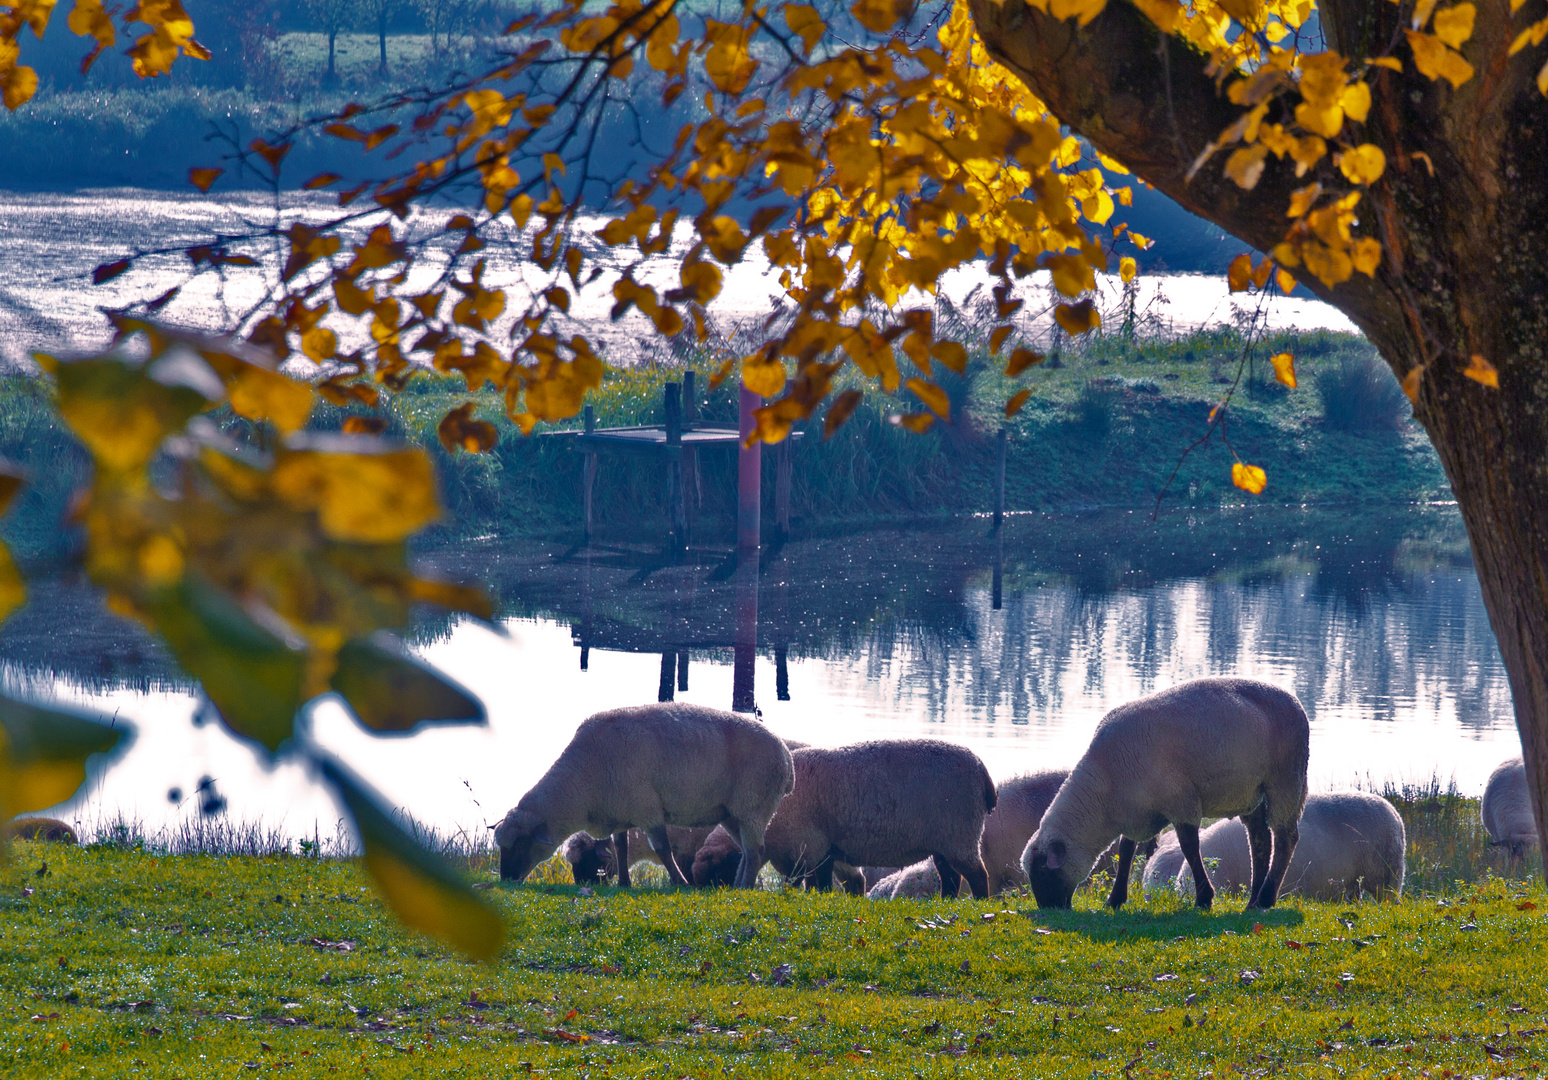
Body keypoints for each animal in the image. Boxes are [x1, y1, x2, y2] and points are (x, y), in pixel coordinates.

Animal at [492, 702, 792, 885]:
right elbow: (621, 849)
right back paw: (738, 885)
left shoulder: (647, 808)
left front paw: (681, 883)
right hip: (732, 814)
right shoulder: (622, 812)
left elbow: (662, 850)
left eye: (522, 843)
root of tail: (785, 756)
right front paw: (624, 884)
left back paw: (743, 887)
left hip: (753, 806)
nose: (506, 879)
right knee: (748, 851)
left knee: (755, 851)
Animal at [752, 736, 996, 897]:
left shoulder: (812, 845)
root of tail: (982, 770)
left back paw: (978, 903)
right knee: (951, 878)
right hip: (944, 843)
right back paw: (945, 902)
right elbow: (817, 883)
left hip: (960, 836)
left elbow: (816, 884)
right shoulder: (820, 850)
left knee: (978, 876)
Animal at [1027, 677, 1306, 909]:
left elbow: (1189, 847)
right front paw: (1115, 899)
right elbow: (1126, 850)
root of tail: (1294, 702)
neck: (1106, 786)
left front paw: (1204, 898)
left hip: (1286, 781)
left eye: (1043, 871)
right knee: (1260, 840)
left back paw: (1266, 898)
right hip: (1252, 791)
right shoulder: (1137, 811)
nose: (1049, 909)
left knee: (1286, 838)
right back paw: (1253, 901)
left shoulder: (1181, 800)